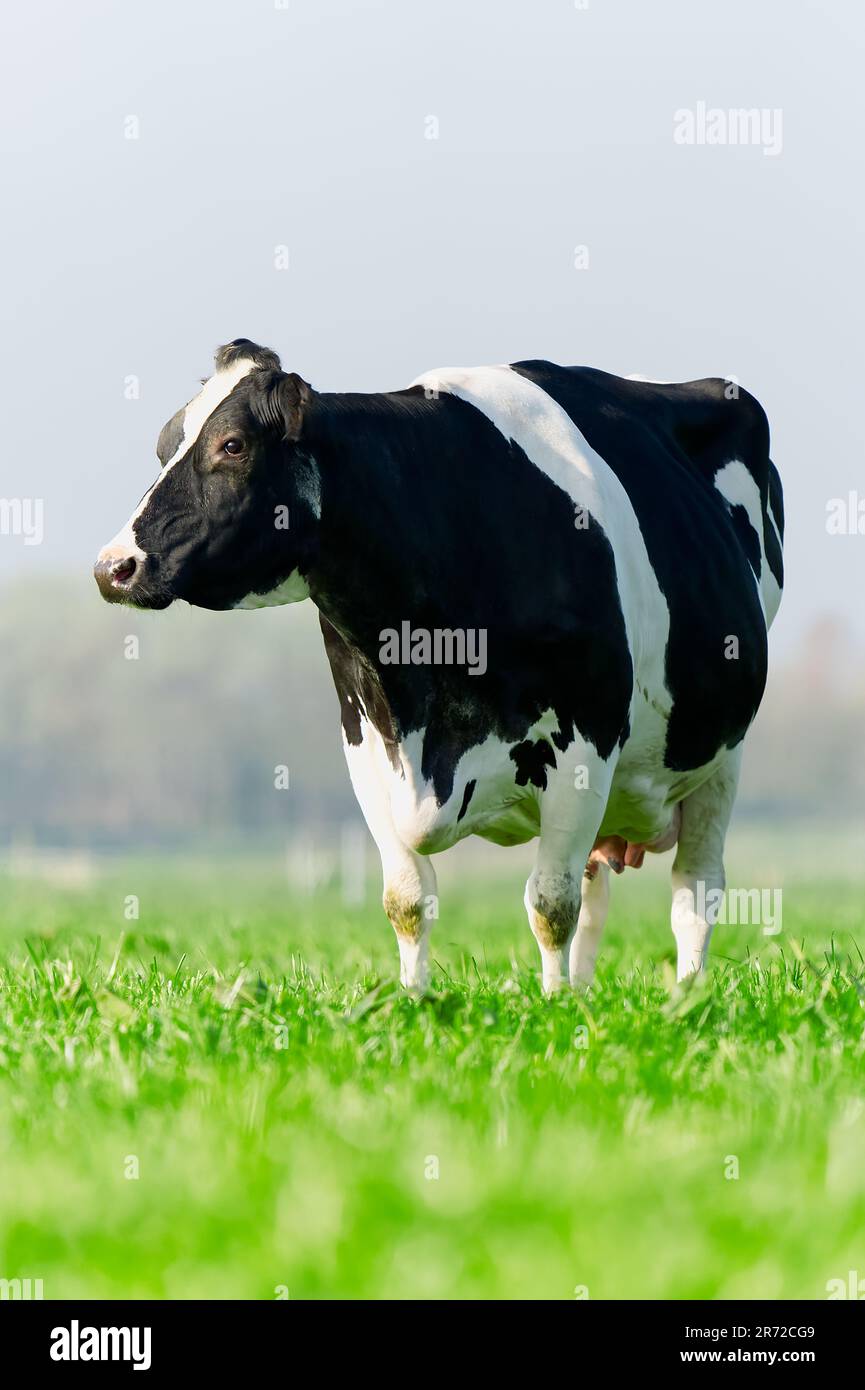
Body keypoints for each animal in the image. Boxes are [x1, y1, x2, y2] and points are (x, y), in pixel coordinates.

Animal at [95, 340, 784, 994]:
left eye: (232, 445)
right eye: (164, 445)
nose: (112, 567)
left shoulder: (586, 743)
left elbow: (549, 905)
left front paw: (552, 1005)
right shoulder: (369, 746)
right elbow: (407, 900)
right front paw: (414, 997)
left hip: (723, 756)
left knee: (694, 890)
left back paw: (685, 993)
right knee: (597, 892)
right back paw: (588, 989)